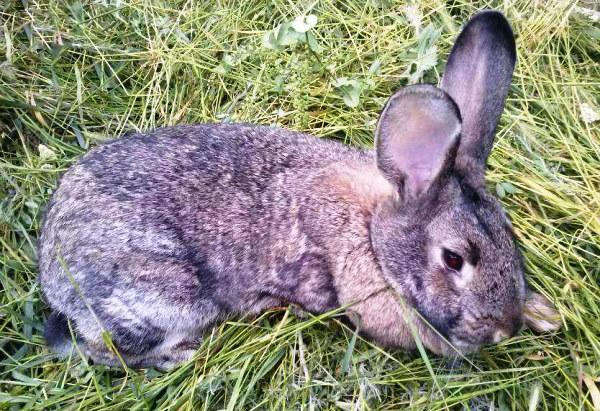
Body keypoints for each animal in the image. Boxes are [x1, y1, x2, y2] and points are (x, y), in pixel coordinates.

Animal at [38, 11, 564, 370]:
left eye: (511, 239)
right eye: (454, 259)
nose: (504, 327)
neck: (374, 237)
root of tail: (51, 270)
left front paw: (543, 312)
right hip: (164, 295)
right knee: (99, 347)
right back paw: (176, 355)